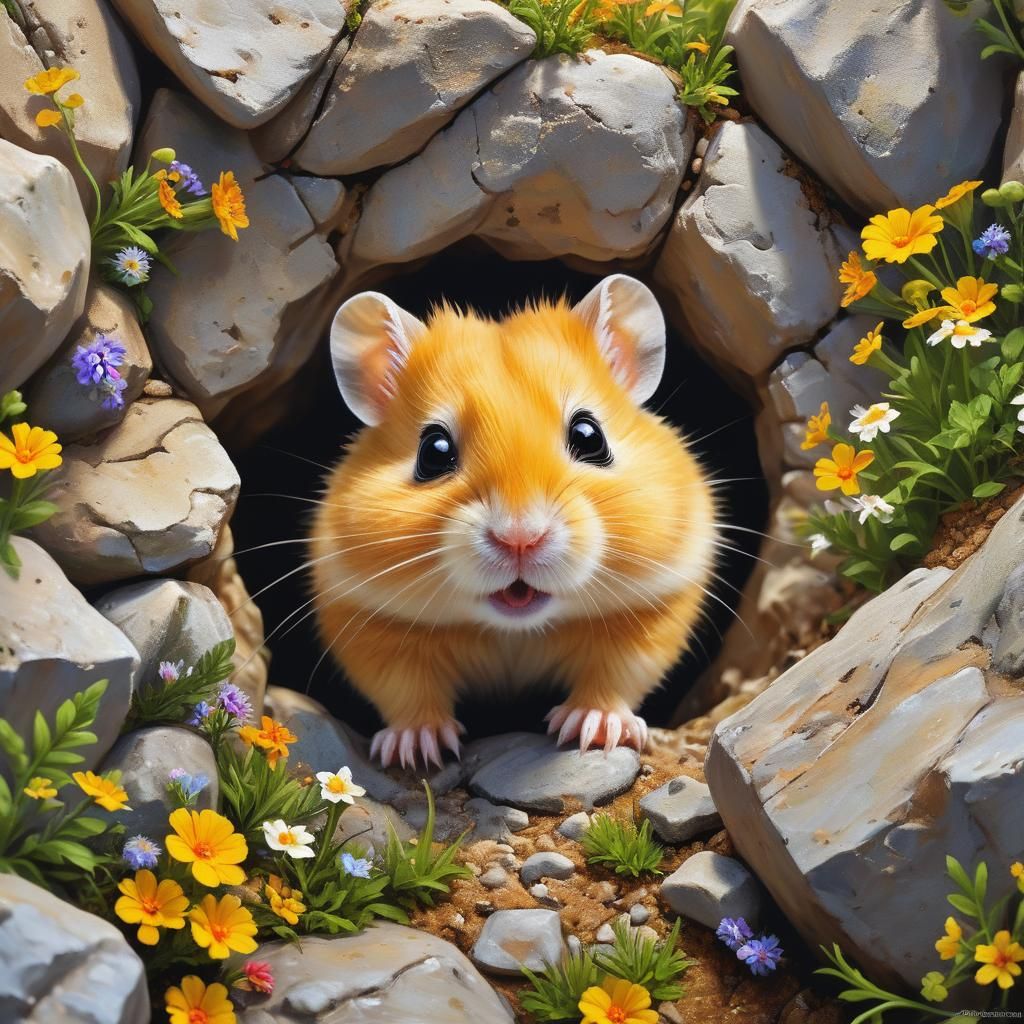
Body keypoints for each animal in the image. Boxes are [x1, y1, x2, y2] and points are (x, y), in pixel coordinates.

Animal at [310, 274, 717, 769]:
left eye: (590, 436)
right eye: (433, 452)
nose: (520, 538)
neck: (513, 631)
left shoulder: (655, 605)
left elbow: (615, 675)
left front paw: (593, 731)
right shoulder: (365, 619)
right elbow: (406, 691)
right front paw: (417, 751)